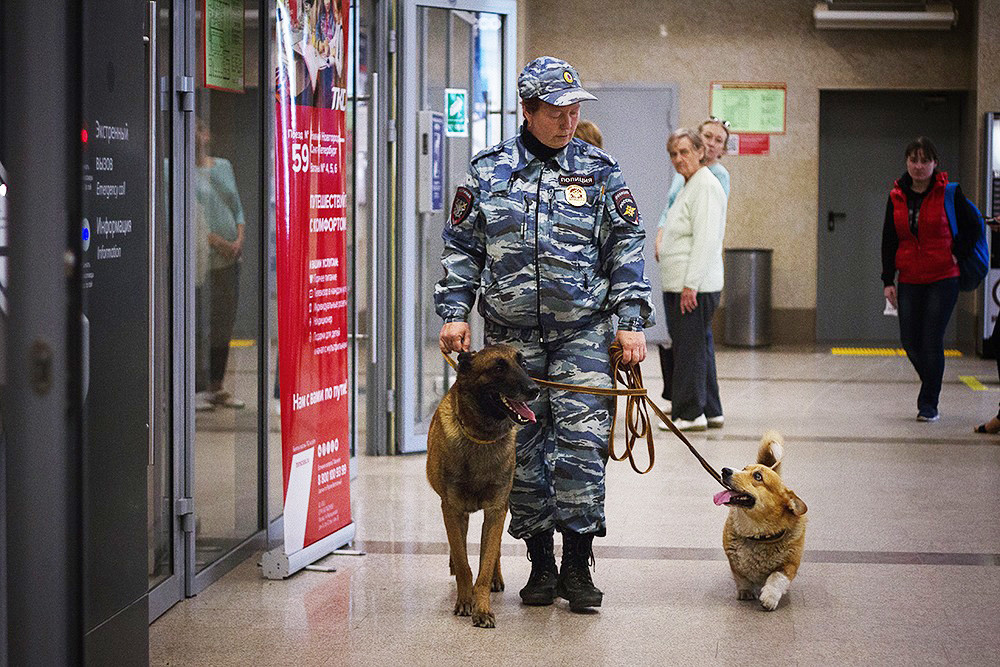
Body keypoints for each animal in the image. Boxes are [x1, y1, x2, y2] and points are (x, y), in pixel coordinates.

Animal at [428, 348, 540, 628]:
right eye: (498, 368)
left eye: (522, 363)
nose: (534, 389)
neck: (481, 436)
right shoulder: (452, 509)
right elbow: (463, 562)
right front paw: (464, 601)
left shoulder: (496, 510)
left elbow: (486, 562)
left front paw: (482, 608)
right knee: (459, 545)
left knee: (494, 549)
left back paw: (495, 579)